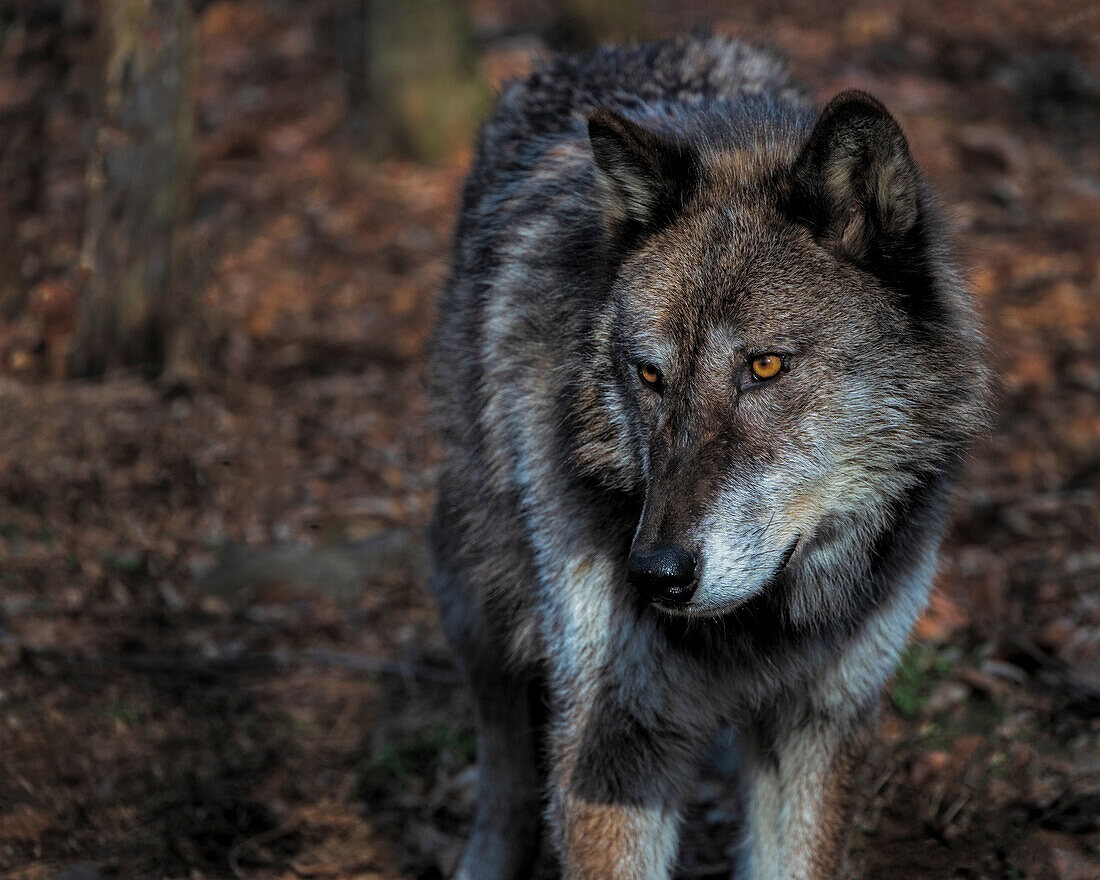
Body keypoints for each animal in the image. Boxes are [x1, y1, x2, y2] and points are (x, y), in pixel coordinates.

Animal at [426, 34, 990, 880]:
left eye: (765, 366)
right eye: (649, 375)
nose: (655, 574)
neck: (759, 628)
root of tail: (618, 48)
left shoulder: (818, 726)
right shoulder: (614, 743)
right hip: (477, 598)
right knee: (502, 756)